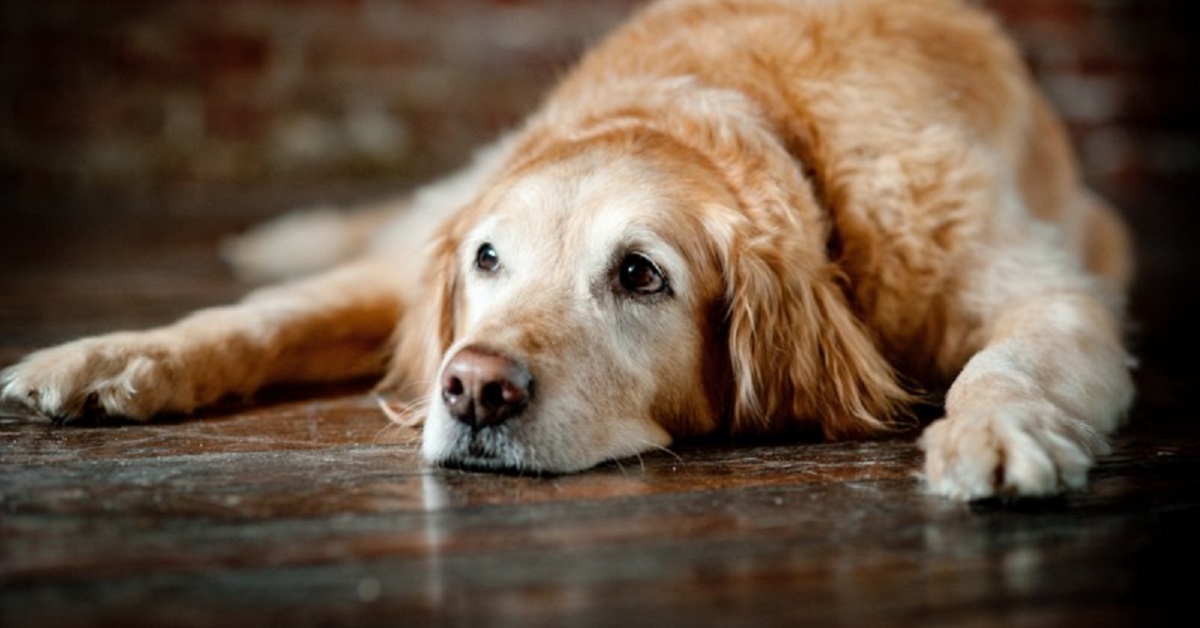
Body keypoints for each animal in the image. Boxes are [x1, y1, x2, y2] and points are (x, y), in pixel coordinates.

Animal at [0, 0, 1132, 501]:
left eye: (639, 275)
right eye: (488, 261)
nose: (473, 390)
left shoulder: (1046, 288)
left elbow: (1007, 359)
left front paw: (986, 434)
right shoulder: (424, 266)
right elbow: (264, 321)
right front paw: (113, 356)